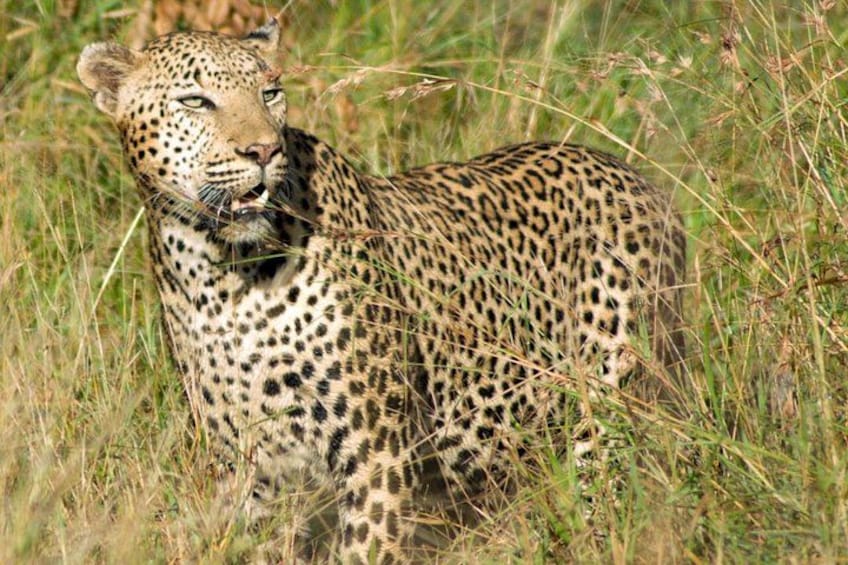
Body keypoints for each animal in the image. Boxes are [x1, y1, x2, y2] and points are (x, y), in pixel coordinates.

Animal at [77, 17, 686, 564]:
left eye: (270, 93)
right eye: (195, 101)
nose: (263, 151)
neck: (222, 275)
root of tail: (640, 179)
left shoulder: (375, 453)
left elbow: (368, 547)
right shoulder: (249, 469)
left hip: (612, 406)